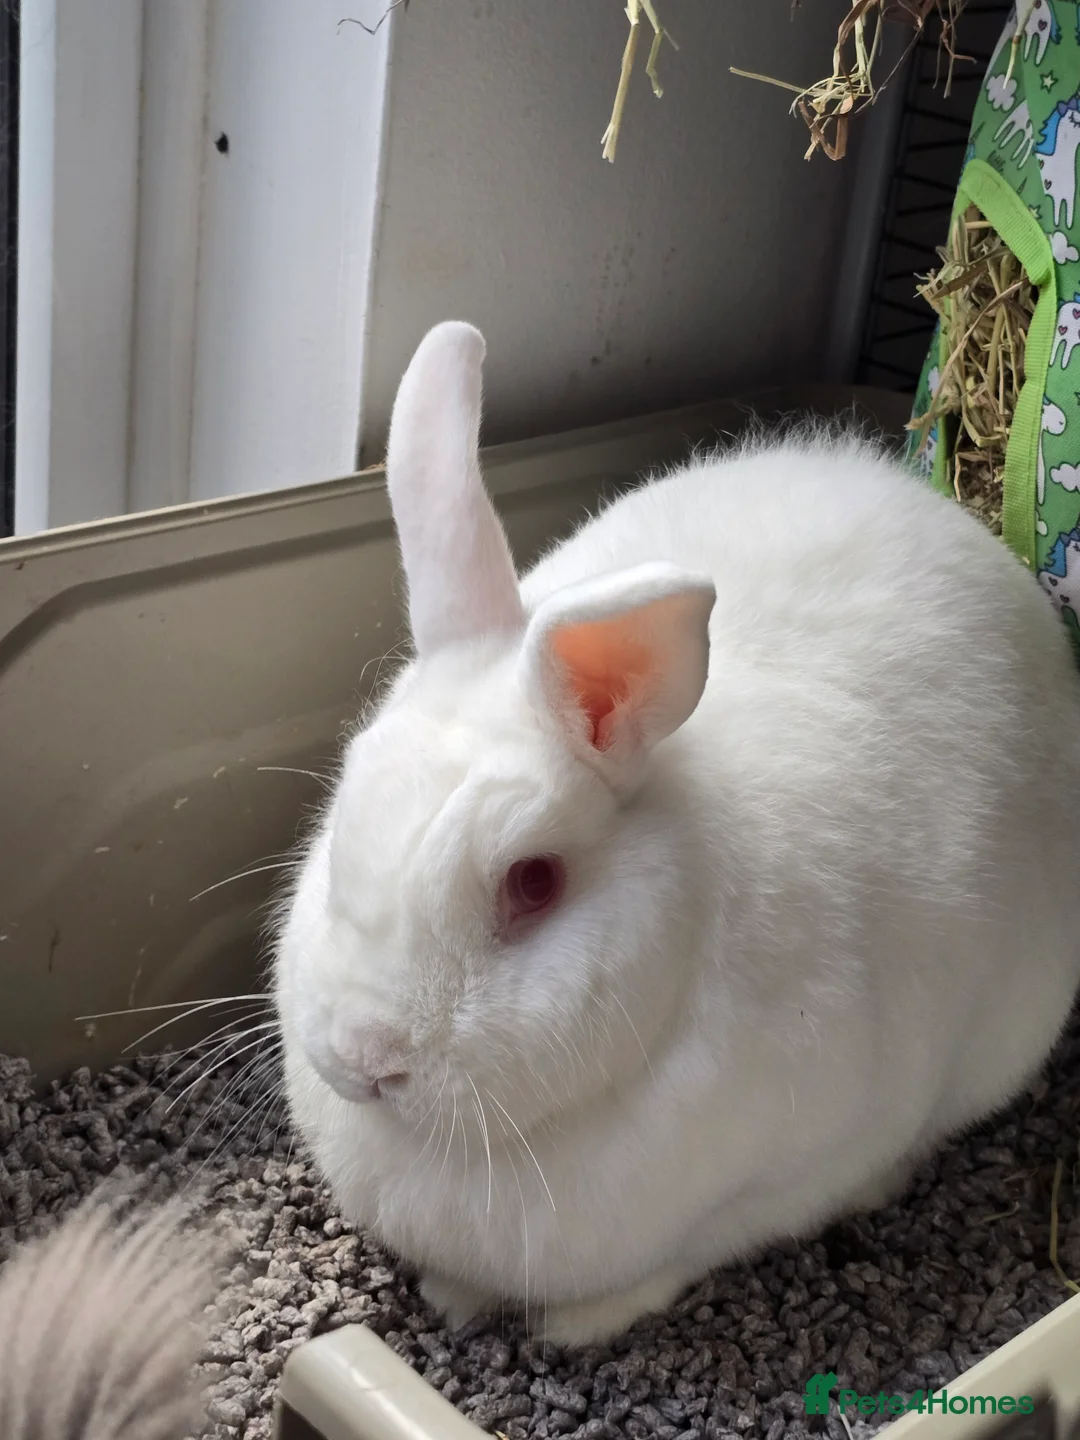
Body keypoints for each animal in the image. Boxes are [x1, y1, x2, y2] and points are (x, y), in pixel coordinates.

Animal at [273, 320, 1080, 1347]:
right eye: (347, 817)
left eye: (533, 881)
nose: (365, 1058)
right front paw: (453, 1299)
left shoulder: (792, 1174)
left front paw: (572, 1328)